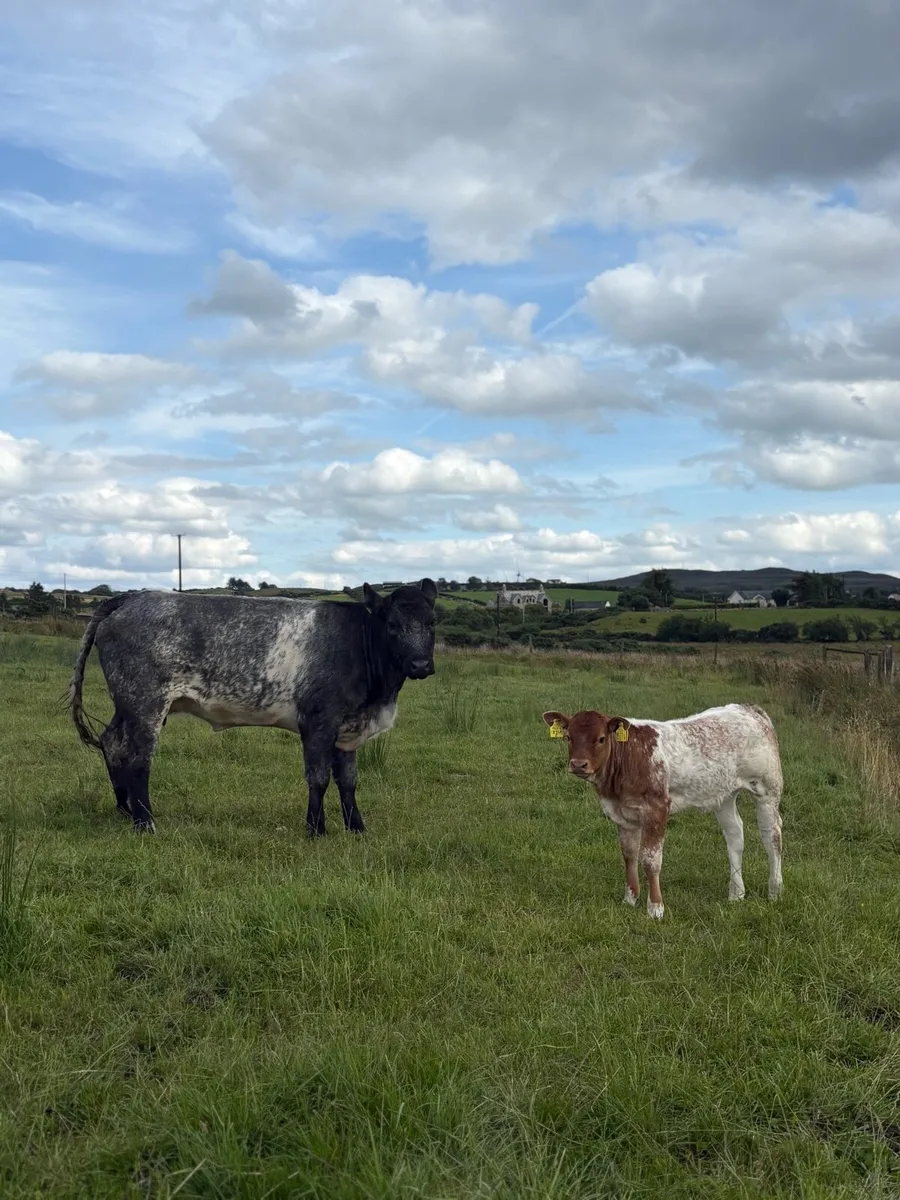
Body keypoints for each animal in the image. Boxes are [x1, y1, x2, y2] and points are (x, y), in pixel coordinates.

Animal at [68, 580, 438, 836]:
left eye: (432, 622)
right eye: (392, 625)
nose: (420, 665)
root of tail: (132, 597)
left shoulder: (348, 728)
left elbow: (348, 780)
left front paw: (356, 828)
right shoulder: (319, 720)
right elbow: (318, 777)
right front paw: (316, 830)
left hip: (127, 704)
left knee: (112, 742)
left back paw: (125, 809)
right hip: (145, 703)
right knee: (138, 759)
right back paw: (145, 823)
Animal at [542, 704, 783, 918]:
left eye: (601, 738)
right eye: (568, 737)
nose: (578, 764)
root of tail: (749, 709)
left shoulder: (657, 810)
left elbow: (650, 860)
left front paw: (656, 908)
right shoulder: (623, 815)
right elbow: (629, 854)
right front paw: (630, 899)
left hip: (768, 788)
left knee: (772, 837)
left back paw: (775, 890)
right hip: (723, 794)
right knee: (735, 835)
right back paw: (736, 893)